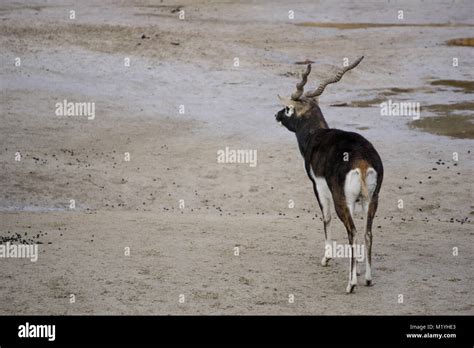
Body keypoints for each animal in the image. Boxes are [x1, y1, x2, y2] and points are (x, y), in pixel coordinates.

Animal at [276, 57, 384, 294]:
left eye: (288, 108)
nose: (276, 115)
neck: (316, 135)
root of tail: (362, 161)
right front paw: (358, 267)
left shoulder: (318, 187)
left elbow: (325, 218)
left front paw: (327, 258)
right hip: (372, 199)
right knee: (367, 232)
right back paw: (368, 279)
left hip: (341, 200)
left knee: (352, 231)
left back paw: (351, 284)